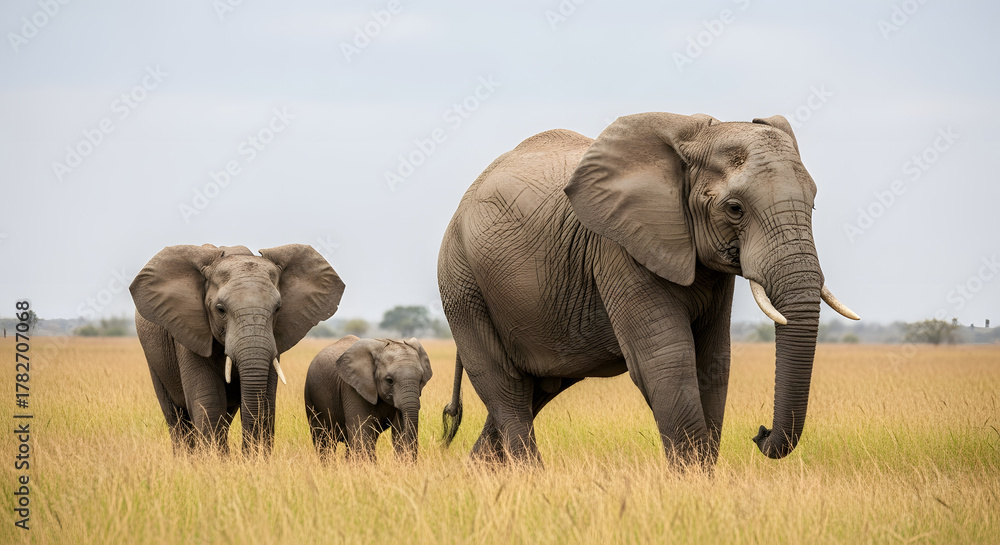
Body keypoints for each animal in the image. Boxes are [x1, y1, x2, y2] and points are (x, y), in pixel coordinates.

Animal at [130, 244, 345, 455]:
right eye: (220, 309)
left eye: (277, 309)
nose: (246, 455)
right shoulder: (189, 332)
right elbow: (209, 400)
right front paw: (214, 461)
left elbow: (265, 400)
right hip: (155, 359)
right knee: (176, 417)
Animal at [304, 335, 433, 461]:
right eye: (389, 380)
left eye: (421, 380)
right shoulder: (351, 387)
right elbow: (362, 430)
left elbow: (399, 430)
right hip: (311, 399)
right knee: (323, 440)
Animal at [438, 112, 859, 466]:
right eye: (735, 208)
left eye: (813, 204)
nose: (760, 433)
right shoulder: (618, 248)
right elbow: (667, 362)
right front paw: (692, 484)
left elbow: (713, 363)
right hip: (461, 282)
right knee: (505, 386)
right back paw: (530, 476)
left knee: (536, 388)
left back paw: (481, 472)